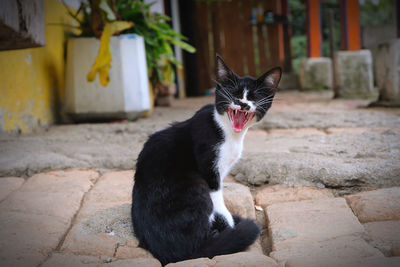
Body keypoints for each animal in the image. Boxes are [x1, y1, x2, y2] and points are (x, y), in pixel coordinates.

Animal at [131, 55, 282, 266]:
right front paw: (230, 225)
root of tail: (172, 254)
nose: (242, 103)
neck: (229, 133)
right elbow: (218, 201)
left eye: (253, 97)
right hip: (194, 186)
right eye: (233, 93)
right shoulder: (209, 168)